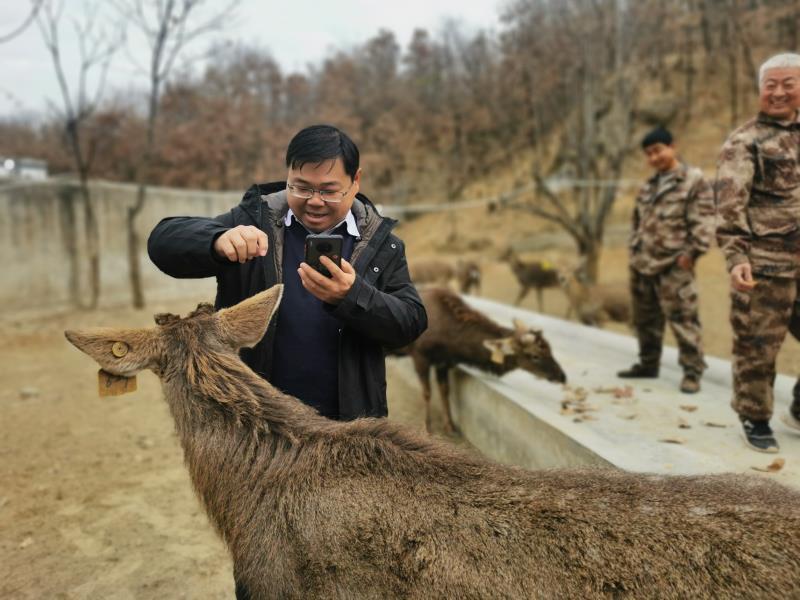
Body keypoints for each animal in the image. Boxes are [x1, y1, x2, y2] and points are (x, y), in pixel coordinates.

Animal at [390, 288, 564, 434]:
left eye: (550, 348)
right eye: (535, 355)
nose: (562, 376)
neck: (451, 343)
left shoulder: (443, 362)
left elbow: (445, 392)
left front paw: (450, 426)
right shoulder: (420, 355)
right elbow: (427, 392)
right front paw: (426, 427)